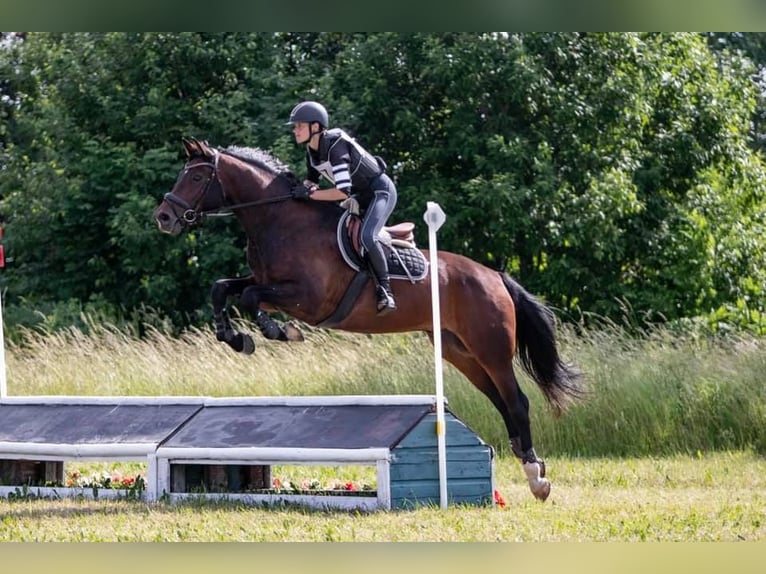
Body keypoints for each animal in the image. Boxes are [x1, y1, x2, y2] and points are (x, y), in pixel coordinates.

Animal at [153, 137, 584, 502]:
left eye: (195, 176)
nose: (164, 217)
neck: (279, 220)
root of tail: (495, 275)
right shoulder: (266, 281)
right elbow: (222, 288)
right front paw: (234, 337)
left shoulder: (308, 300)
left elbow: (250, 297)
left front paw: (277, 332)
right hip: (458, 351)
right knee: (499, 400)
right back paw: (532, 467)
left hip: (490, 349)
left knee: (517, 401)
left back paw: (537, 478)